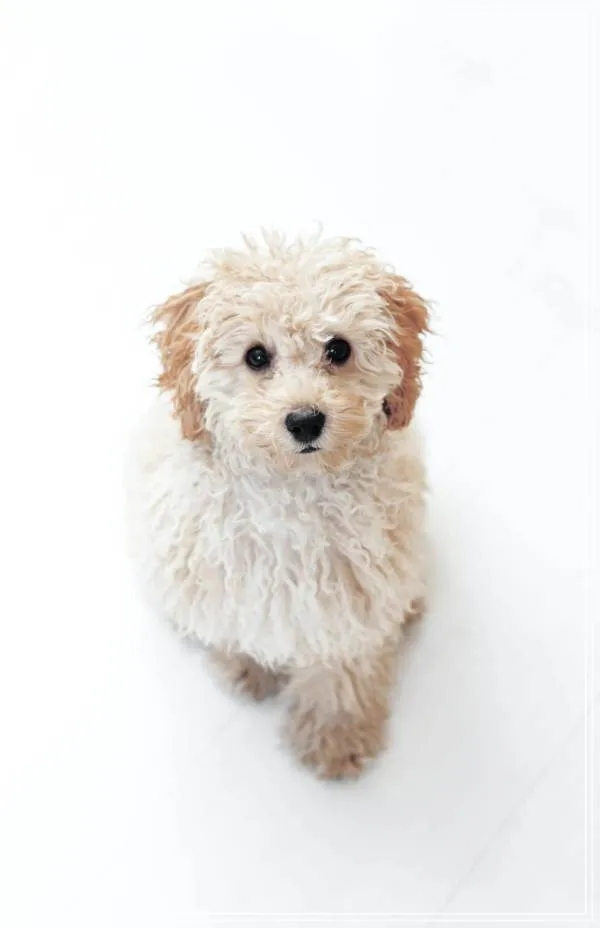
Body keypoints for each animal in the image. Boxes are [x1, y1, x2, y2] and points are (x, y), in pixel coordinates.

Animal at [129, 231, 429, 779]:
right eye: (255, 356)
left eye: (338, 348)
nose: (305, 420)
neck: (292, 492)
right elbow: (235, 627)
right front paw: (245, 667)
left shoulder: (351, 600)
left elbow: (343, 670)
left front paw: (336, 736)